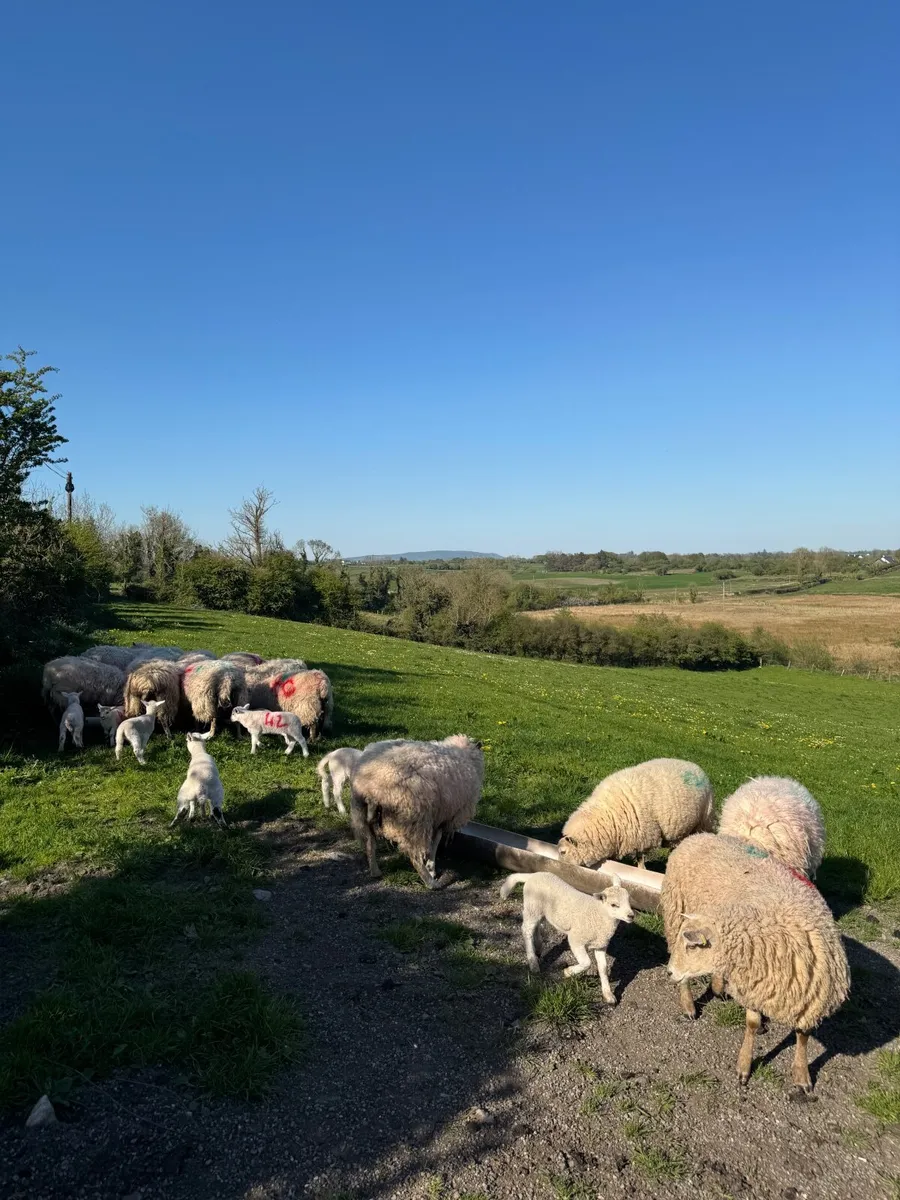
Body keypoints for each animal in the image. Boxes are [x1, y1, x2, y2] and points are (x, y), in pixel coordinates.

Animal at [349, 734, 483, 888]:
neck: (465, 755)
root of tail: (371, 789)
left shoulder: (438, 815)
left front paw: (431, 866)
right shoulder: (445, 816)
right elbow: (435, 842)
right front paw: (431, 869)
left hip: (360, 812)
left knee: (370, 843)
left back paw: (375, 871)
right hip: (413, 820)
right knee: (414, 856)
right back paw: (431, 883)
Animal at [500, 871, 634, 1002]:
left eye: (628, 900)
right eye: (614, 905)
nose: (631, 916)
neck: (599, 914)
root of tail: (533, 875)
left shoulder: (600, 944)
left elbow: (603, 969)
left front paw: (608, 995)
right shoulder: (576, 938)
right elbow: (587, 963)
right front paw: (568, 972)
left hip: (540, 910)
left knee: (536, 927)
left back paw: (538, 948)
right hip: (532, 906)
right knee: (527, 930)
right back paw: (533, 963)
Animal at [557, 758, 714, 868]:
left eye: (563, 852)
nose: (559, 866)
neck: (607, 813)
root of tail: (696, 766)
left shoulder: (643, 837)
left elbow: (640, 858)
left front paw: (641, 869)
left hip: (702, 823)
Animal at [661, 832, 849, 1092]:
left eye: (691, 947)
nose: (669, 972)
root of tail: (697, 836)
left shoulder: (809, 997)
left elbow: (803, 1036)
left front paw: (801, 1074)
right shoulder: (754, 983)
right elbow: (750, 1024)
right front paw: (744, 1066)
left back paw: (717, 986)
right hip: (675, 911)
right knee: (684, 976)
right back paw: (689, 1004)